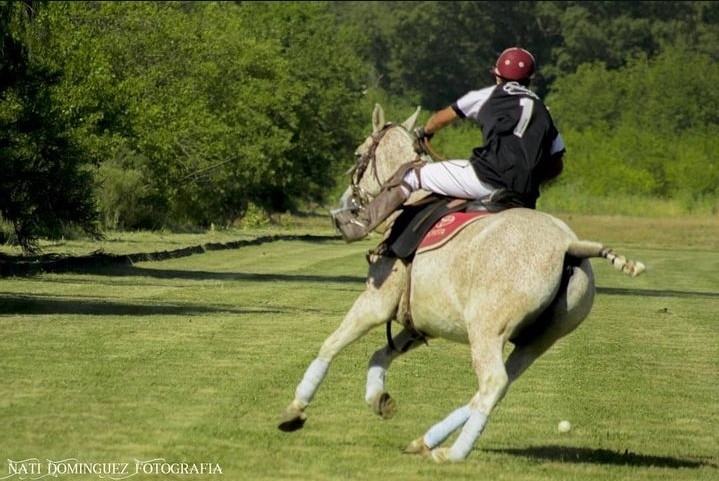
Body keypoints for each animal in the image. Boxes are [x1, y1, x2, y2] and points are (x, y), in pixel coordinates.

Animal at [278, 104, 648, 462]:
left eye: (358, 155)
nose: (345, 208)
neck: (407, 206)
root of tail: (569, 246)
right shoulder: (422, 323)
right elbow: (379, 354)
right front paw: (378, 398)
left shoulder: (376, 302)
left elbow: (330, 344)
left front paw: (295, 411)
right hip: (541, 339)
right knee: (496, 387)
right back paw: (426, 441)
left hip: (487, 329)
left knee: (493, 383)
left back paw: (452, 453)